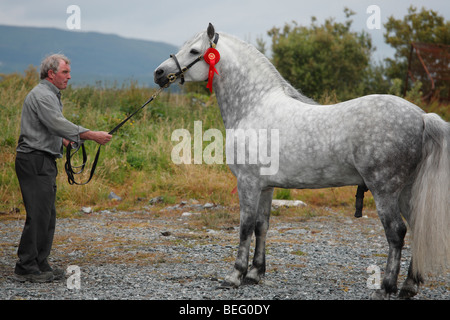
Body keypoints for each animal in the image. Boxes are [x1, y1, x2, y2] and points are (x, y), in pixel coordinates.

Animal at [156, 23, 450, 300]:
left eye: (194, 51)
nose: (159, 73)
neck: (254, 106)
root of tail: (422, 117)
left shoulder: (247, 184)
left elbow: (245, 228)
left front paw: (235, 276)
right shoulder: (266, 187)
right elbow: (262, 226)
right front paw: (255, 273)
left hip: (385, 190)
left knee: (397, 233)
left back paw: (386, 288)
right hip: (406, 191)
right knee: (417, 229)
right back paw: (409, 286)